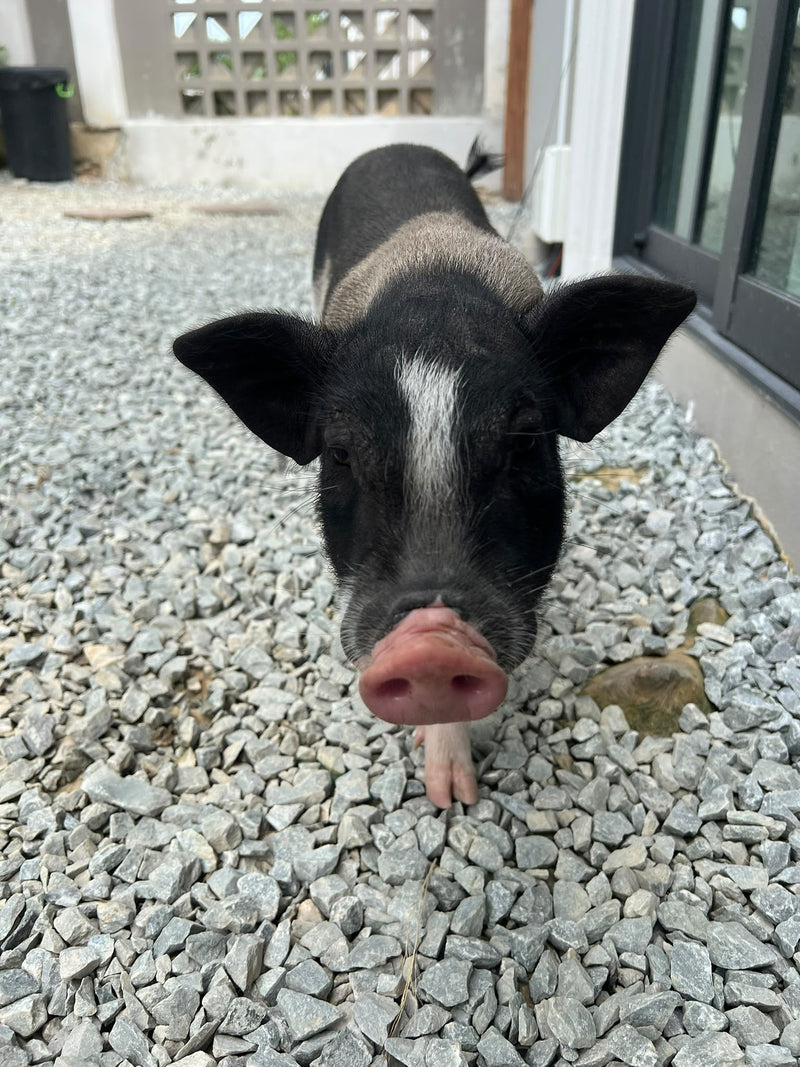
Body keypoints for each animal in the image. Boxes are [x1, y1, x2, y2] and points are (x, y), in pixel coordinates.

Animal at [173, 143, 696, 808]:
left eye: (526, 442)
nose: (430, 638)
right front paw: (445, 791)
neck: (431, 289)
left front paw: (455, 795)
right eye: (340, 454)